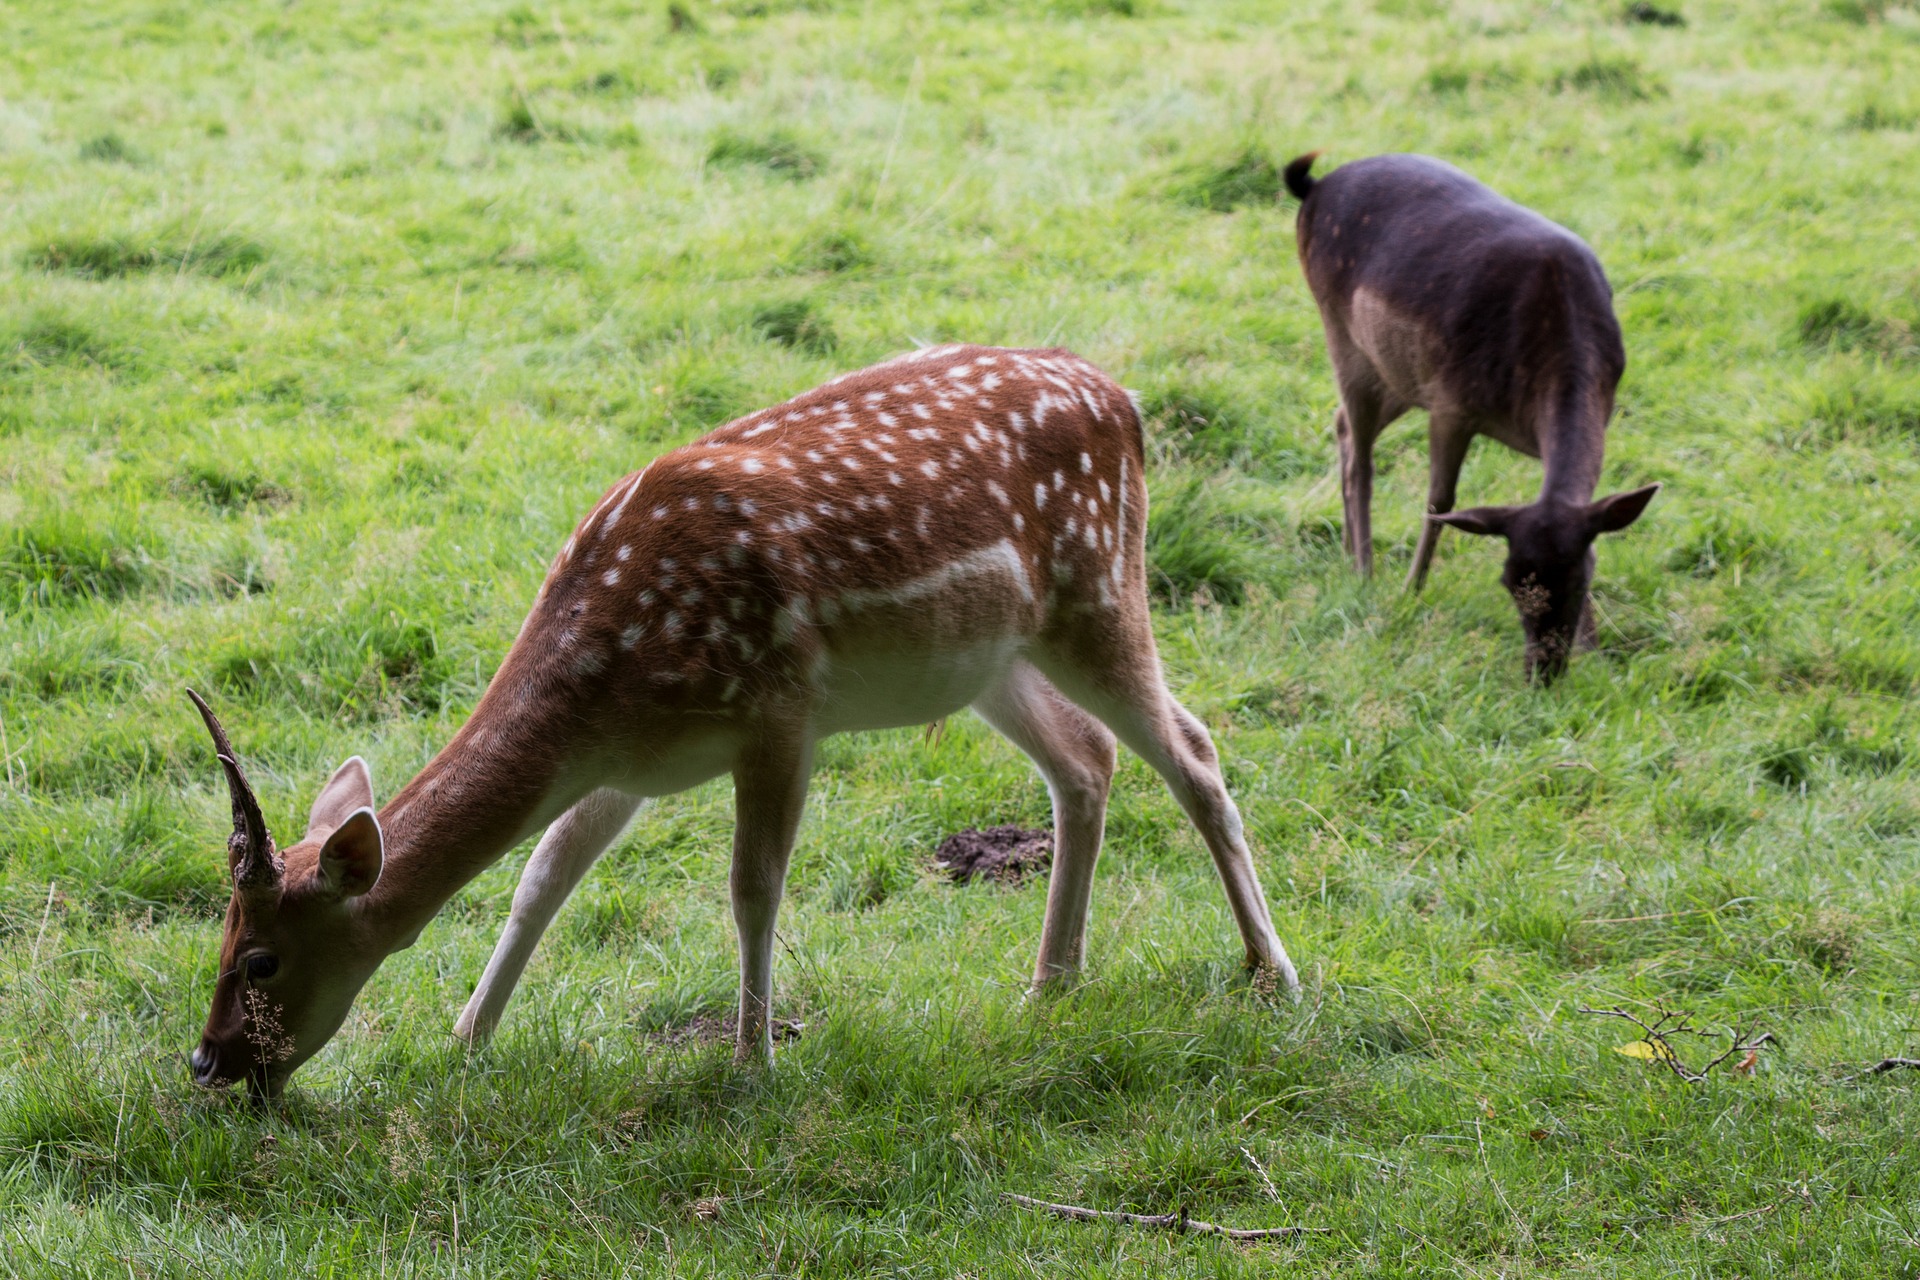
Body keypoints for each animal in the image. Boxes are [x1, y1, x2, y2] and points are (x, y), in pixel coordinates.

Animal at [1282, 151, 1658, 687]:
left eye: (1582, 578)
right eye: (1508, 582)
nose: (1542, 671)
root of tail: (1312, 186)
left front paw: (1595, 648)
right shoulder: (1450, 402)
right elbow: (1440, 501)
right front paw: (1410, 594)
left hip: (1396, 372)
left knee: (1341, 425)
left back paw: (1350, 554)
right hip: (1342, 331)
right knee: (1361, 454)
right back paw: (1364, 570)